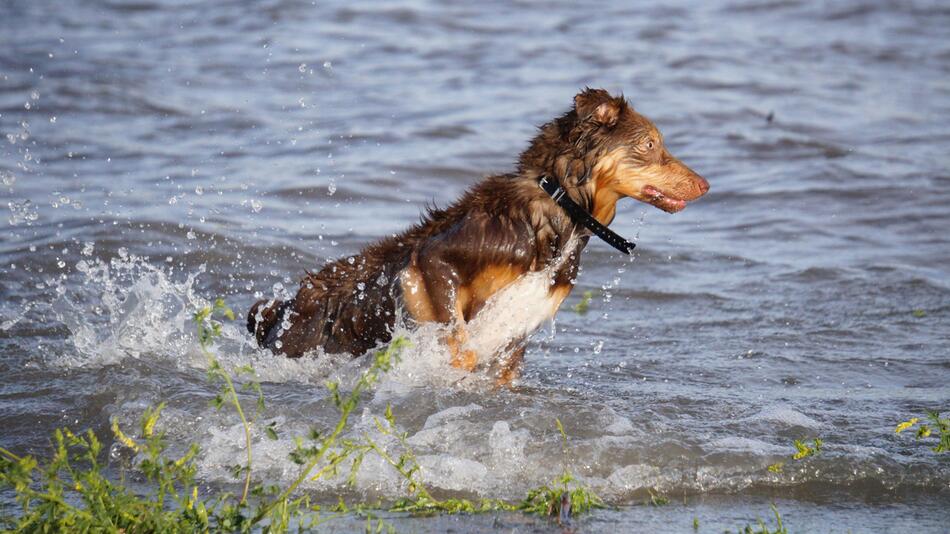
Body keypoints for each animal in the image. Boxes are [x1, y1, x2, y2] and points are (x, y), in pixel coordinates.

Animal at [249, 89, 712, 386]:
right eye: (650, 144)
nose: (706, 185)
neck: (559, 209)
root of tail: (276, 312)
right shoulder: (431, 262)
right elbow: (460, 345)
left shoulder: (518, 332)